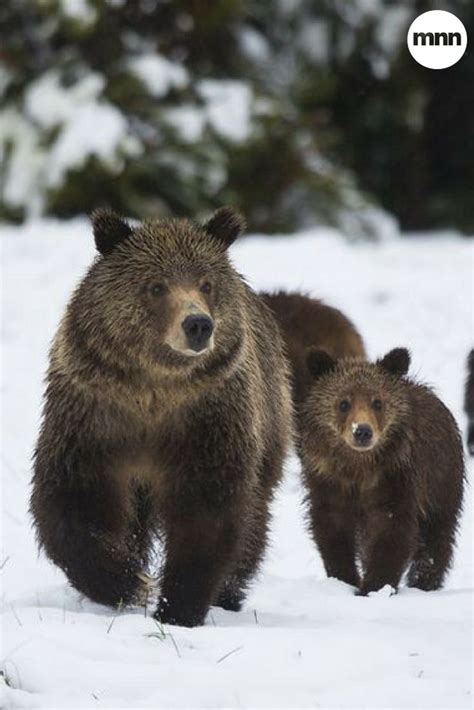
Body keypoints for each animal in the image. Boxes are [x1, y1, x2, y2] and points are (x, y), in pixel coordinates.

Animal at [30, 207, 292, 628]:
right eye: (156, 286)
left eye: (206, 283)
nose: (198, 324)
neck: (153, 391)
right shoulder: (94, 417)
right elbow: (74, 502)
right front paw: (125, 581)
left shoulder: (207, 421)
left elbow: (207, 513)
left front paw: (178, 606)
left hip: (270, 415)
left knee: (255, 514)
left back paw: (230, 592)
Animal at [300, 348, 462, 596]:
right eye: (343, 403)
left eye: (377, 402)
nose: (362, 431)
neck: (359, 468)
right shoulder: (328, 480)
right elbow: (332, 529)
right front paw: (344, 579)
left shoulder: (395, 478)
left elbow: (392, 530)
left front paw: (373, 587)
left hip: (442, 480)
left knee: (438, 533)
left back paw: (424, 580)